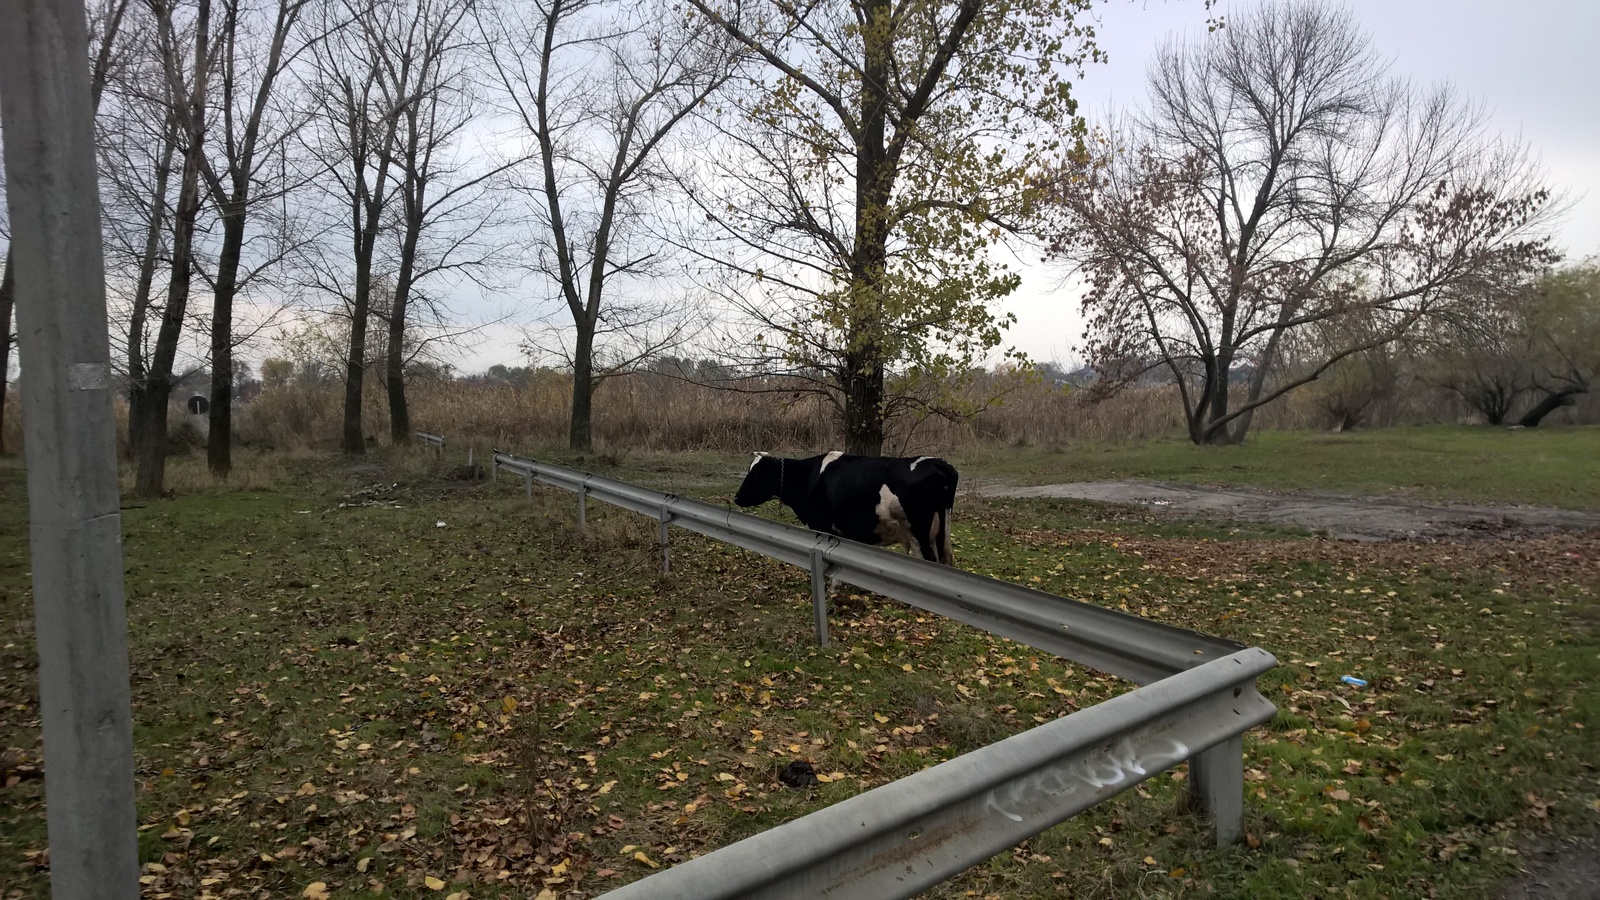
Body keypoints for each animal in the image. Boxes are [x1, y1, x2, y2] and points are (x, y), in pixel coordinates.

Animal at [736, 451, 960, 563]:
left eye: (757, 473)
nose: (737, 497)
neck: (808, 478)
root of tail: (939, 463)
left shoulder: (822, 526)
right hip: (937, 532)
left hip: (919, 531)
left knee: (929, 560)